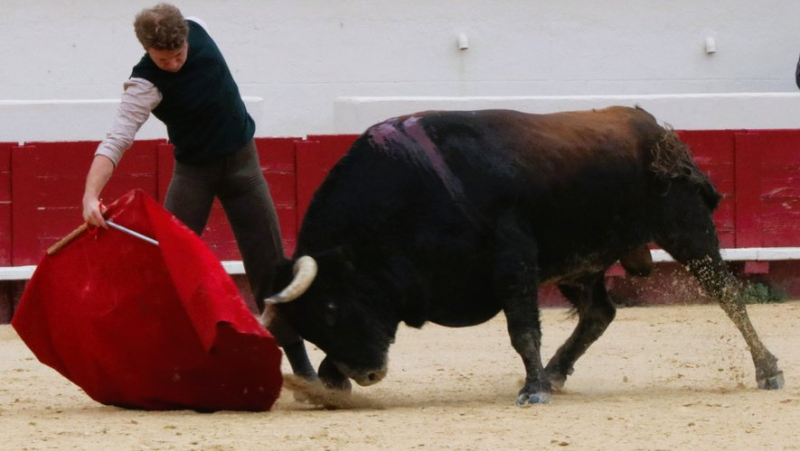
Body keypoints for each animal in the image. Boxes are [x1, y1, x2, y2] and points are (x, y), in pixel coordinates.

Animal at [260, 107, 780, 406]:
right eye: (312, 324)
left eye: (332, 307)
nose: (368, 374)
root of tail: (658, 129)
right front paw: (329, 383)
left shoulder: (512, 257)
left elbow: (522, 329)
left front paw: (531, 391)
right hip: (579, 262)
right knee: (599, 312)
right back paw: (555, 373)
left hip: (687, 230)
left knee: (728, 294)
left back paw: (768, 369)